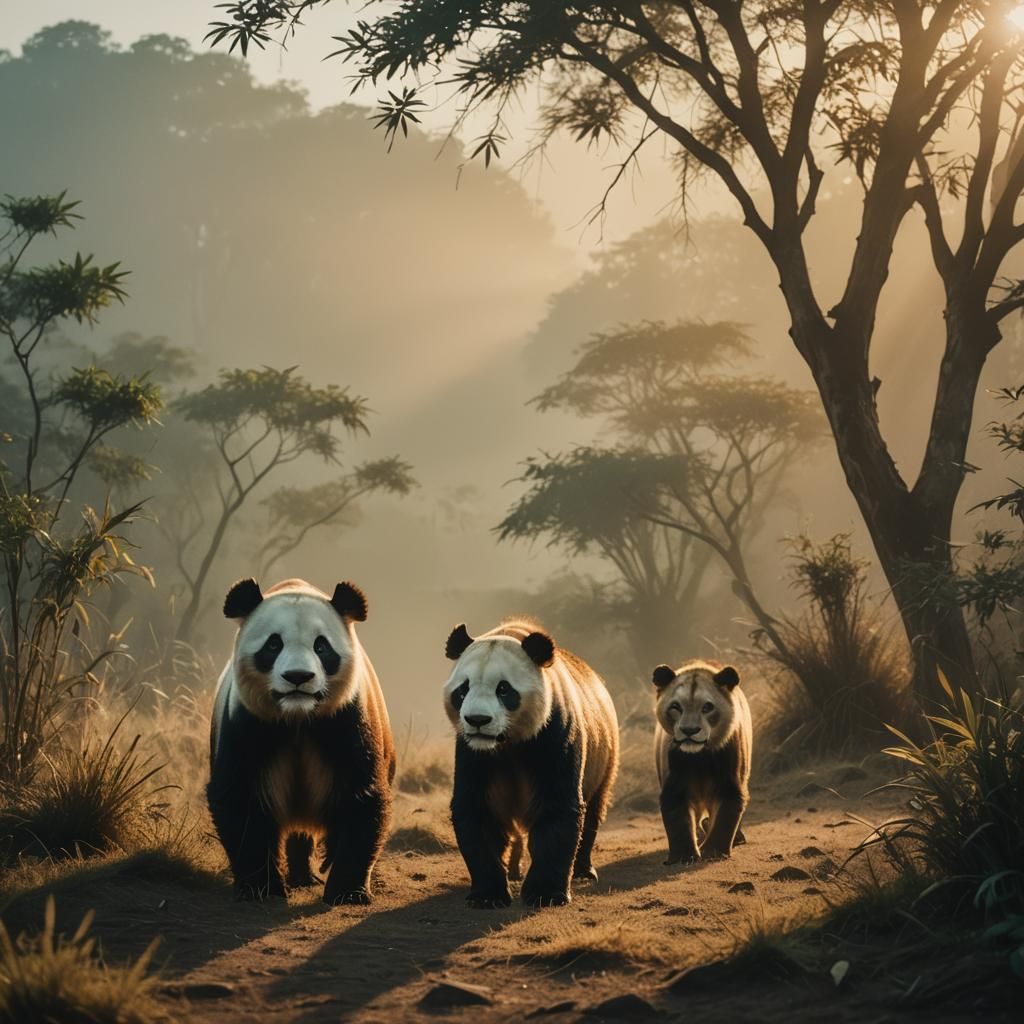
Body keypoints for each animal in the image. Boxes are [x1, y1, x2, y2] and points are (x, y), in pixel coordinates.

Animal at [207, 577, 395, 904]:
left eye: (321, 646)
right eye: (273, 644)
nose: (298, 676)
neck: (297, 717)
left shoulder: (348, 719)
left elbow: (363, 797)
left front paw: (347, 892)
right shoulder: (246, 722)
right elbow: (239, 799)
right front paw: (262, 888)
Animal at [443, 618, 619, 908]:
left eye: (503, 689)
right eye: (463, 689)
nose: (478, 720)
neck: (506, 742)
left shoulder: (555, 731)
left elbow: (558, 806)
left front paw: (545, 894)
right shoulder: (471, 752)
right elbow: (476, 809)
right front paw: (487, 896)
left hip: (606, 756)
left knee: (594, 807)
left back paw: (583, 870)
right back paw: (514, 870)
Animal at [651, 659, 752, 864]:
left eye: (707, 707)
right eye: (676, 706)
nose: (689, 730)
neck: (700, 756)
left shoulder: (731, 777)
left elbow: (726, 815)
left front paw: (713, 851)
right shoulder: (674, 778)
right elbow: (677, 818)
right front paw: (683, 855)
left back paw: (737, 837)